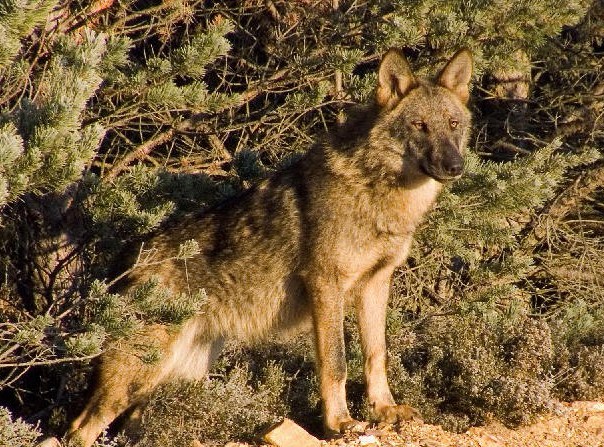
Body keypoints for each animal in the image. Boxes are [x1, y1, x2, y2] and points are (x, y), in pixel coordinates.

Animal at [56, 47, 472, 446]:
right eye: (419, 125)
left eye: (452, 125)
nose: (455, 166)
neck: (378, 192)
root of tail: (123, 261)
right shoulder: (326, 284)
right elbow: (336, 363)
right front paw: (339, 423)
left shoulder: (376, 283)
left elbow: (376, 354)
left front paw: (384, 409)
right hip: (137, 379)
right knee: (78, 430)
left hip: (172, 380)